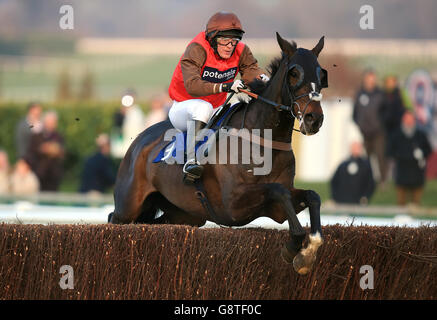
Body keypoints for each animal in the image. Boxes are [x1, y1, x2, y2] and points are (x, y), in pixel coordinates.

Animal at [109, 33, 328, 276]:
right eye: (294, 73)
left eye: (321, 74)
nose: (314, 119)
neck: (264, 139)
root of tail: (138, 141)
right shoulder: (232, 203)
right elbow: (278, 191)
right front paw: (293, 249)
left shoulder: (278, 207)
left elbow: (312, 196)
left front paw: (308, 252)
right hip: (128, 206)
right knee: (114, 219)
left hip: (185, 214)